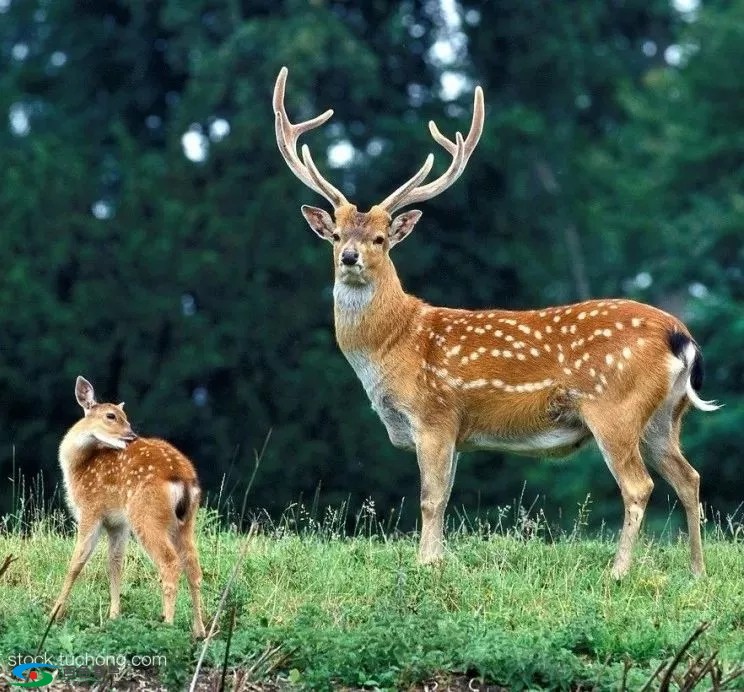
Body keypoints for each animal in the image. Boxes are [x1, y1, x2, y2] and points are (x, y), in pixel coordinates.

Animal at [53, 376, 206, 636]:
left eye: (125, 417)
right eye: (111, 416)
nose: (132, 434)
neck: (78, 467)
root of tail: (183, 478)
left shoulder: (91, 509)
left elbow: (77, 562)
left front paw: (54, 613)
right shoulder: (118, 524)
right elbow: (115, 564)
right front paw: (114, 616)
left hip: (146, 514)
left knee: (170, 563)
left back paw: (167, 625)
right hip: (186, 522)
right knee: (193, 566)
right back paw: (200, 631)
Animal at [274, 66, 720, 580]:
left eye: (382, 239)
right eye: (337, 235)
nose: (350, 257)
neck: (393, 345)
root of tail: (680, 336)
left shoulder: (435, 414)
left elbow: (430, 499)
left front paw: (425, 565)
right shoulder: (455, 431)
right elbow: (445, 496)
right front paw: (439, 560)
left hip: (615, 406)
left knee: (639, 485)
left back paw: (619, 571)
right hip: (666, 416)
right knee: (689, 477)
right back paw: (697, 572)